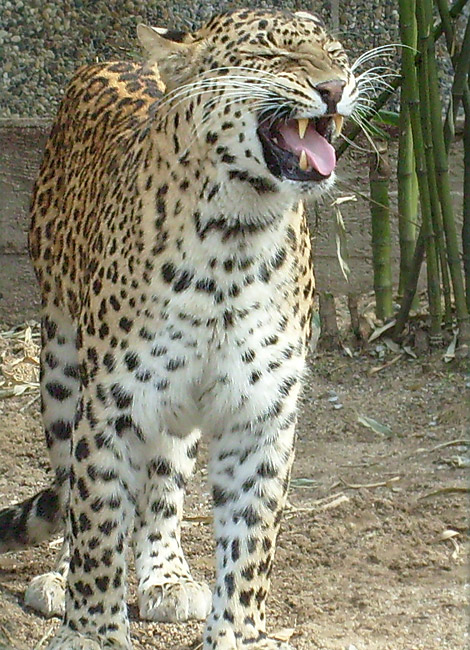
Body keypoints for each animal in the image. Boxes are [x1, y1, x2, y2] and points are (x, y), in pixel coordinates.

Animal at [0, 8, 360, 648]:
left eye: (335, 52)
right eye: (272, 58)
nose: (336, 87)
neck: (238, 236)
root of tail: (117, 59)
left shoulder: (261, 415)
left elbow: (250, 544)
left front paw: (236, 633)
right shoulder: (112, 406)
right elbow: (97, 524)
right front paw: (90, 632)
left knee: (163, 487)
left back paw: (166, 575)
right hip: (61, 363)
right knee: (71, 486)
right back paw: (62, 576)